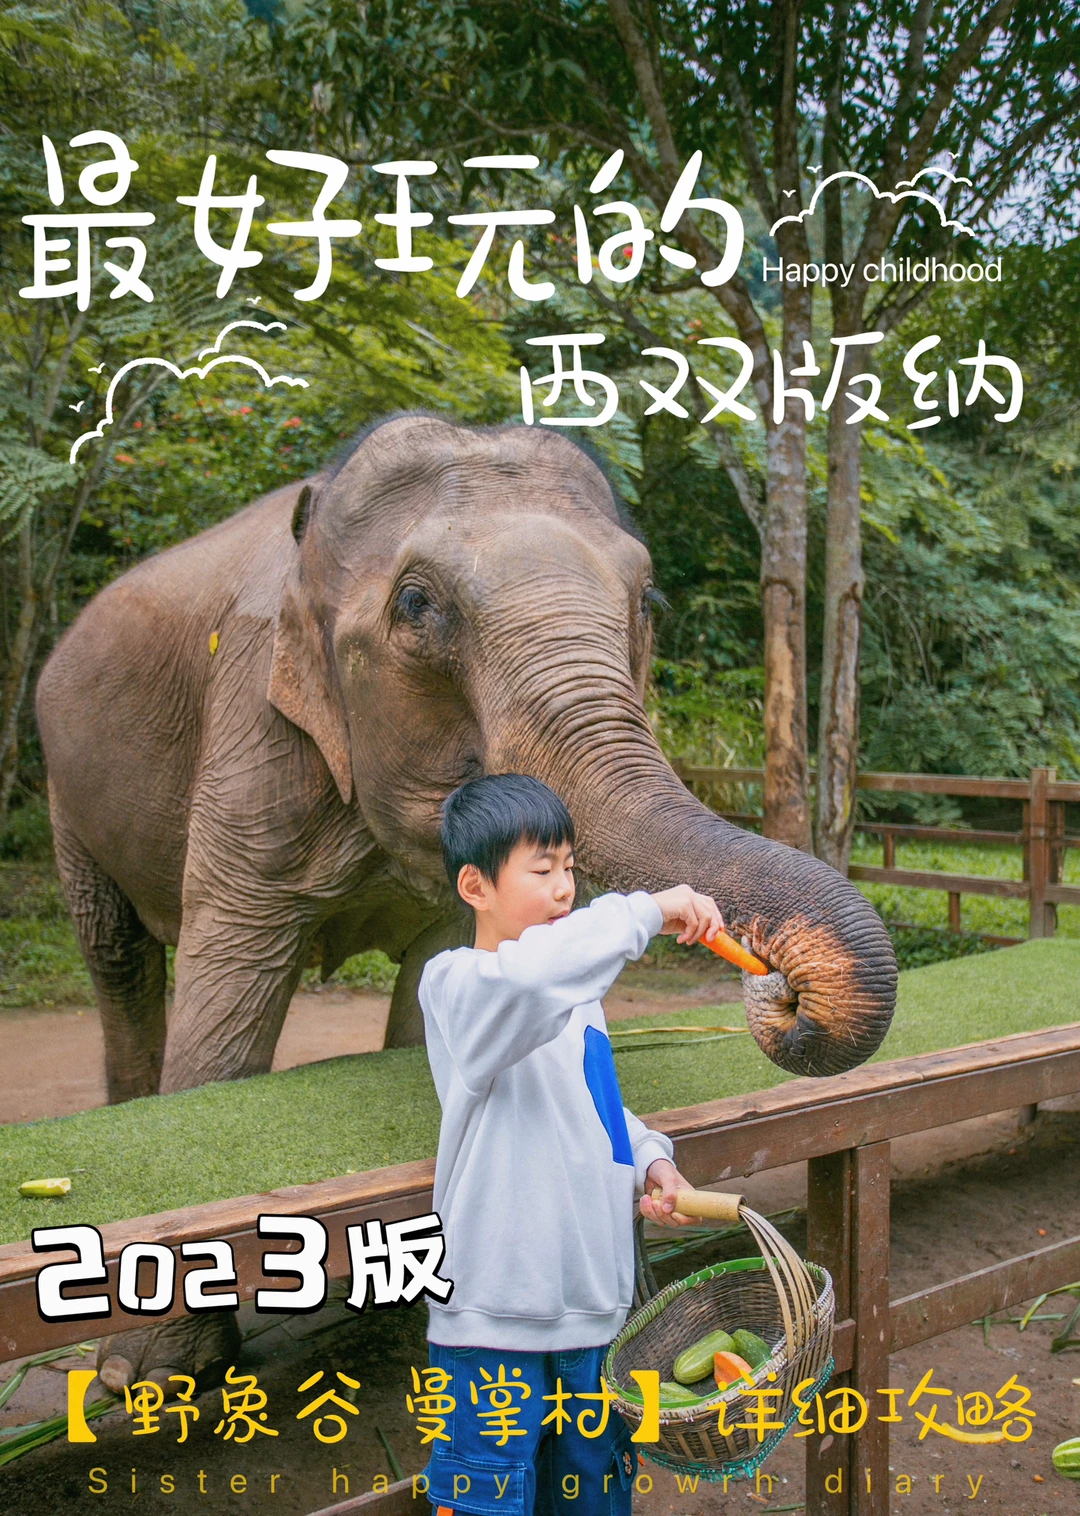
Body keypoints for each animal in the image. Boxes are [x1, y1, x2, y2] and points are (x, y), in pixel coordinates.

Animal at [36, 411, 896, 1389]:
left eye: (648, 603)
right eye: (417, 606)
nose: (782, 988)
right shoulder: (253, 722)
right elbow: (231, 989)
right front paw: (148, 1378)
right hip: (65, 789)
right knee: (117, 956)